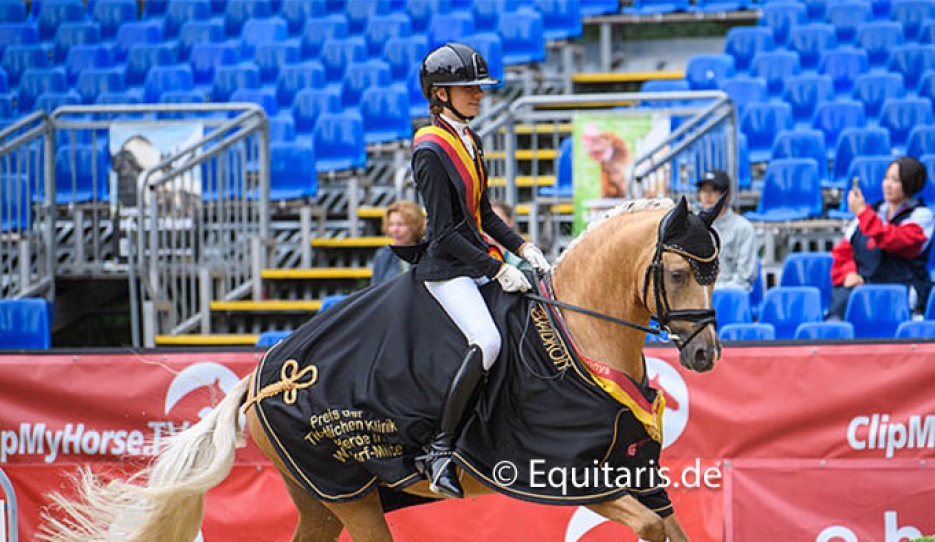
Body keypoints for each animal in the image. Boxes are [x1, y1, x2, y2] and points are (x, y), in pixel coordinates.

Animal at [39, 196, 725, 542]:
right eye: (678, 272)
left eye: (714, 270)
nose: (704, 355)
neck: (578, 338)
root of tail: (261, 377)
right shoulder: (570, 479)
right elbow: (650, 530)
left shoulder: (640, 476)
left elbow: (671, 531)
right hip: (350, 497)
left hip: (325, 501)